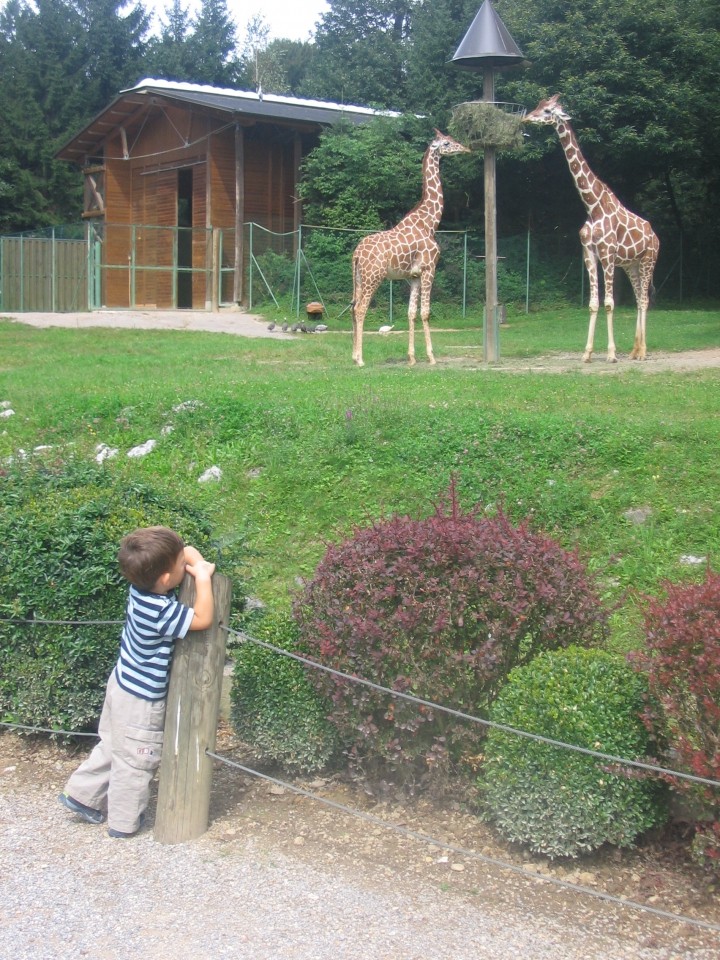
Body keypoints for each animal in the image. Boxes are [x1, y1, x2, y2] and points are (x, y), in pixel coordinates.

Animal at [352, 129, 470, 366]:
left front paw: (412, 358)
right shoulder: (429, 269)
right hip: (373, 277)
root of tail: (356, 254)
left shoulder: (413, 276)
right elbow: (425, 312)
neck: (429, 222)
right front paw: (431, 357)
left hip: (359, 279)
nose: (465, 148)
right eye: (446, 143)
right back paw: (360, 360)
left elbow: (410, 313)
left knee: (353, 307)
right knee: (360, 309)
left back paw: (353, 356)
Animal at [520, 95, 660, 362]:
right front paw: (587, 353)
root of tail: (655, 236)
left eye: (548, 110)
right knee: (640, 297)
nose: (527, 118)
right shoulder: (589, 253)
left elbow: (609, 303)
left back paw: (644, 351)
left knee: (645, 300)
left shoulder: (607, 254)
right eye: (538, 105)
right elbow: (594, 303)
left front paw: (611, 354)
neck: (593, 206)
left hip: (648, 259)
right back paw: (635, 350)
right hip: (631, 265)